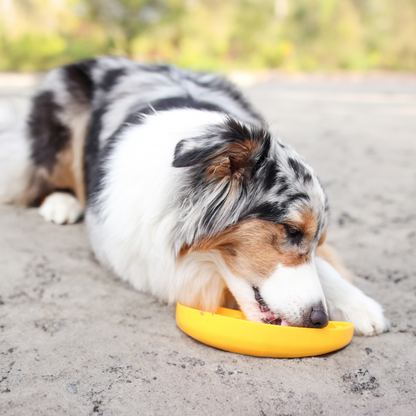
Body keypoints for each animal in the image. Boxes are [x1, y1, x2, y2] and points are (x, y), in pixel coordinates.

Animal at [0, 56, 388, 334]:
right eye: (292, 231)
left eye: (317, 241)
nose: (319, 320)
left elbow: (324, 269)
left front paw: (357, 304)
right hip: (62, 122)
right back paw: (61, 202)